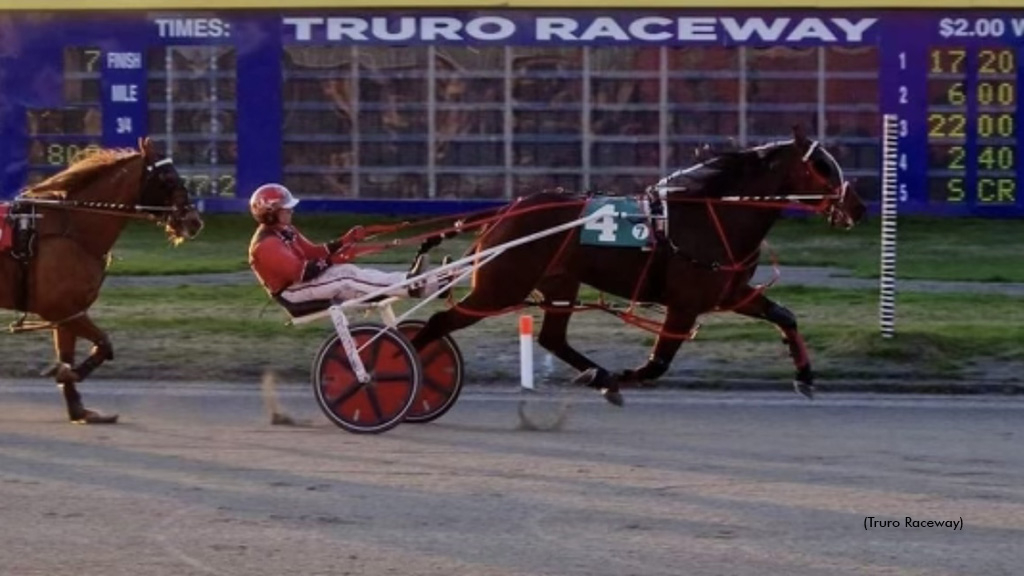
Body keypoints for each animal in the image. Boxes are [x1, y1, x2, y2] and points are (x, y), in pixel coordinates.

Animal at [0, 135, 203, 422]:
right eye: (167, 177)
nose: (194, 221)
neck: (74, 231)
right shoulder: (59, 308)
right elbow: (103, 344)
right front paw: (70, 374)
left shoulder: (68, 312)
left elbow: (67, 354)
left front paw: (78, 407)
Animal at [411, 126, 868, 403]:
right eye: (821, 165)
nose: (858, 207)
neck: (715, 216)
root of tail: (508, 210)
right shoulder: (685, 303)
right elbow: (657, 363)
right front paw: (625, 375)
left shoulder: (729, 292)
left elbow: (785, 316)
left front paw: (805, 377)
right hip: (501, 286)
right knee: (438, 323)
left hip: (558, 284)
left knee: (552, 339)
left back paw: (598, 375)